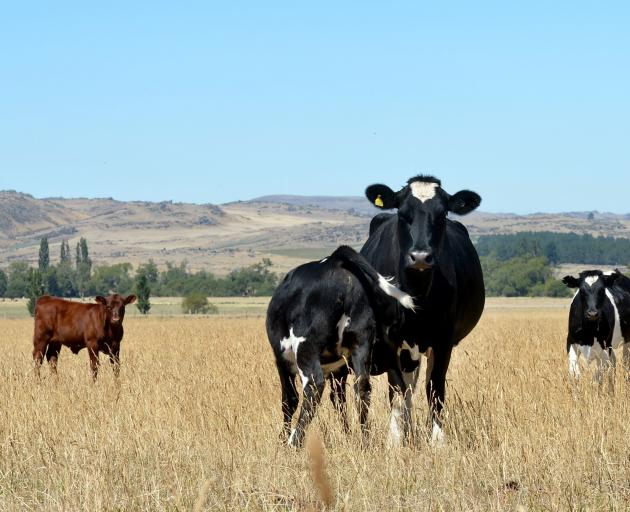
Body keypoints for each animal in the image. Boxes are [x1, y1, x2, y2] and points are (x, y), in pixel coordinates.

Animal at [266, 243, 414, 444]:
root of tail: (336, 261)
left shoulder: (282, 362)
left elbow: (289, 400)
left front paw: (283, 438)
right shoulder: (339, 369)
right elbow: (338, 399)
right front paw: (347, 434)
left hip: (306, 347)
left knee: (313, 387)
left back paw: (294, 441)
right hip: (363, 344)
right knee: (365, 389)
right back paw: (365, 441)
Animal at [358, 175, 486, 444]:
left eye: (442, 214)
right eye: (402, 213)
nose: (419, 256)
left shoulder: (443, 340)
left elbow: (435, 388)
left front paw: (437, 441)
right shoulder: (392, 341)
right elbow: (396, 389)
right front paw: (395, 441)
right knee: (406, 388)